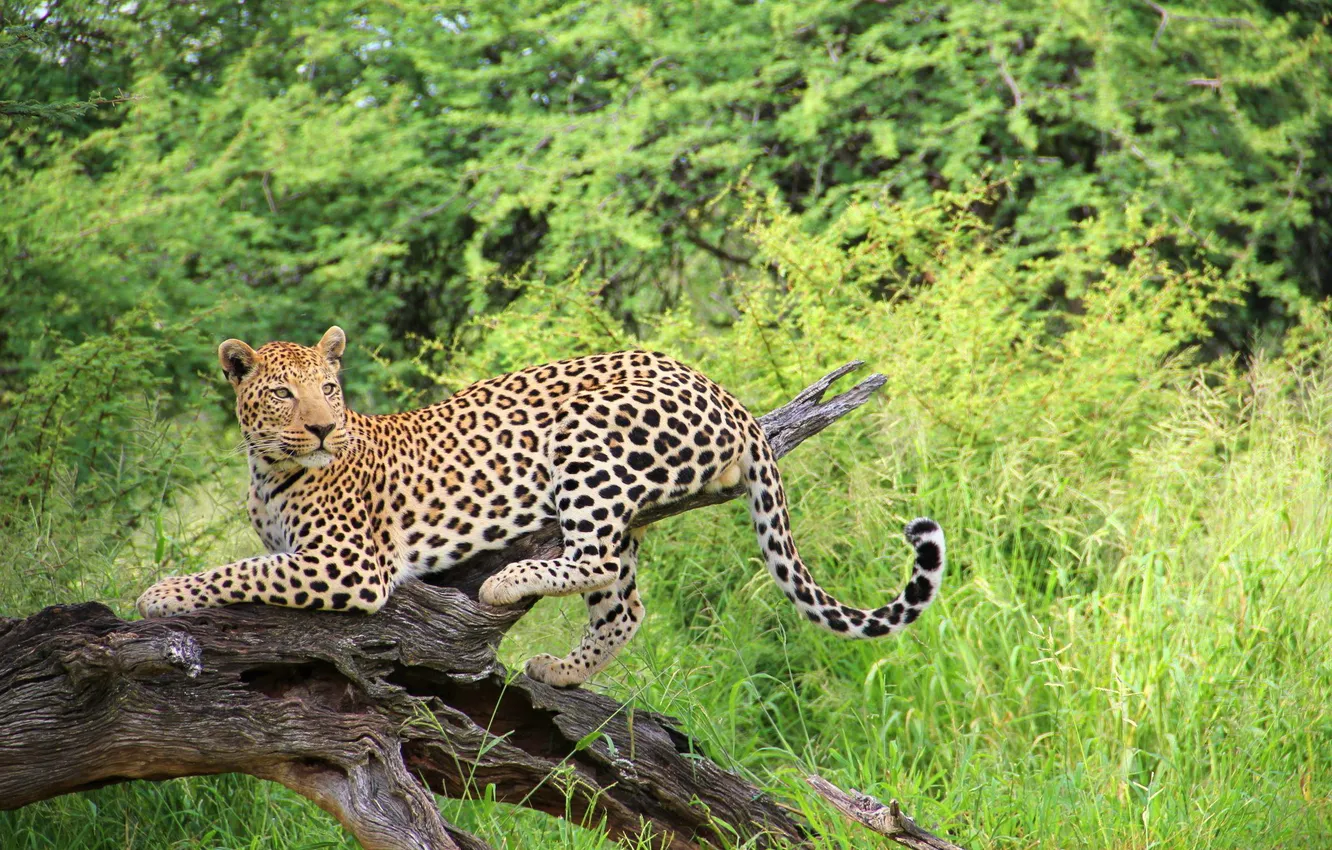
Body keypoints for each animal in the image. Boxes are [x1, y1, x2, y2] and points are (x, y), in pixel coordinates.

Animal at [136, 327, 946, 687]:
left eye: (328, 389)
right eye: (282, 393)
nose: (322, 429)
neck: (269, 469)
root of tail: (724, 392)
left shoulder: (350, 565)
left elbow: (238, 571)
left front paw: (161, 594)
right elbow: (254, 563)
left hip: (586, 439)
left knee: (594, 564)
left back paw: (505, 583)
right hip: (617, 499)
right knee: (623, 597)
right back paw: (562, 670)